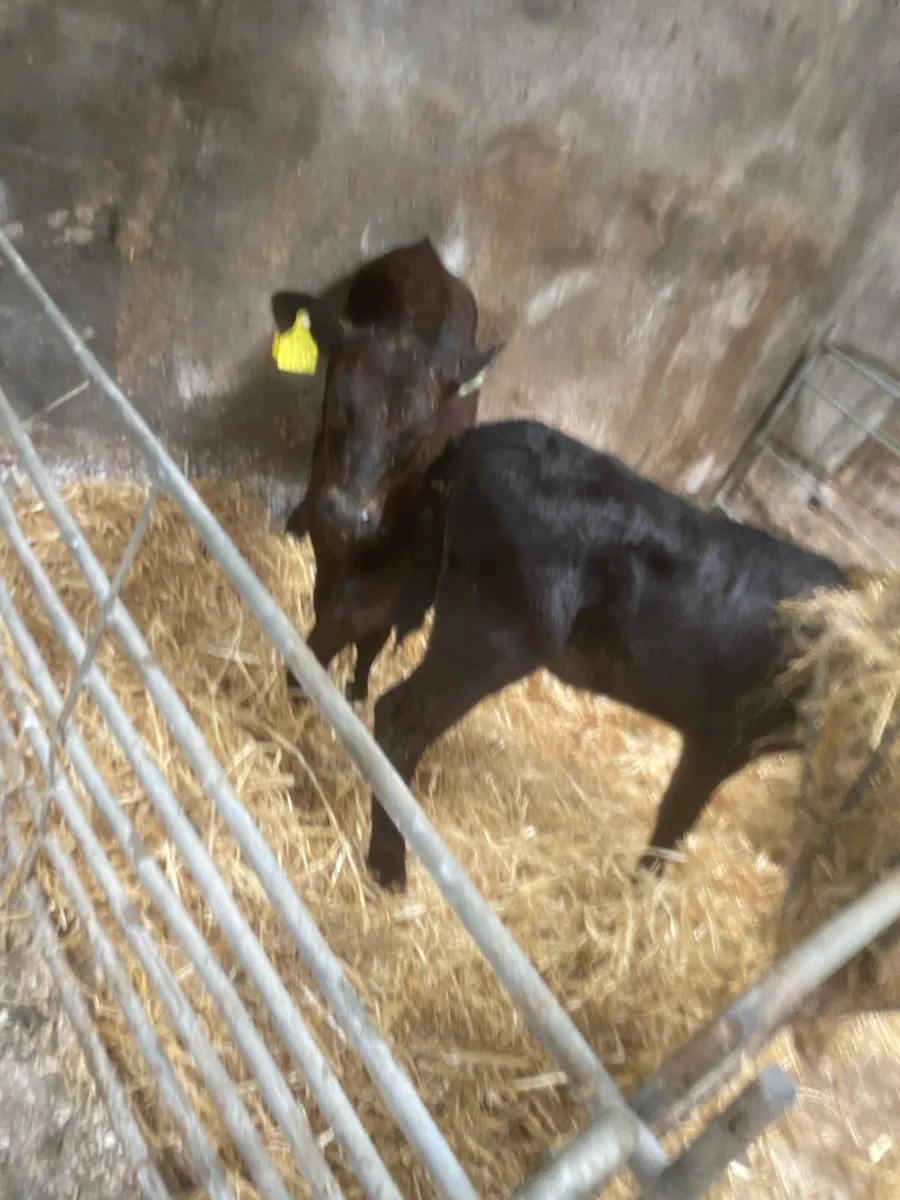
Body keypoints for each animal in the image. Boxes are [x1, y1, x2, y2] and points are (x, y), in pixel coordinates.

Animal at [274, 238, 502, 705]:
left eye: (420, 429)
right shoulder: (330, 531)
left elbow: (370, 630)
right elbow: (329, 605)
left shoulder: (407, 559)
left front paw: (356, 686)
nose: (347, 513)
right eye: (342, 400)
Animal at [364, 419, 849, 890]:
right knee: (400, 717)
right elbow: (676, 819)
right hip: (492, 636)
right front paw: (641, 893)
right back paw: (388, 865)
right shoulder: (723, 734)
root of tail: (490, 434)